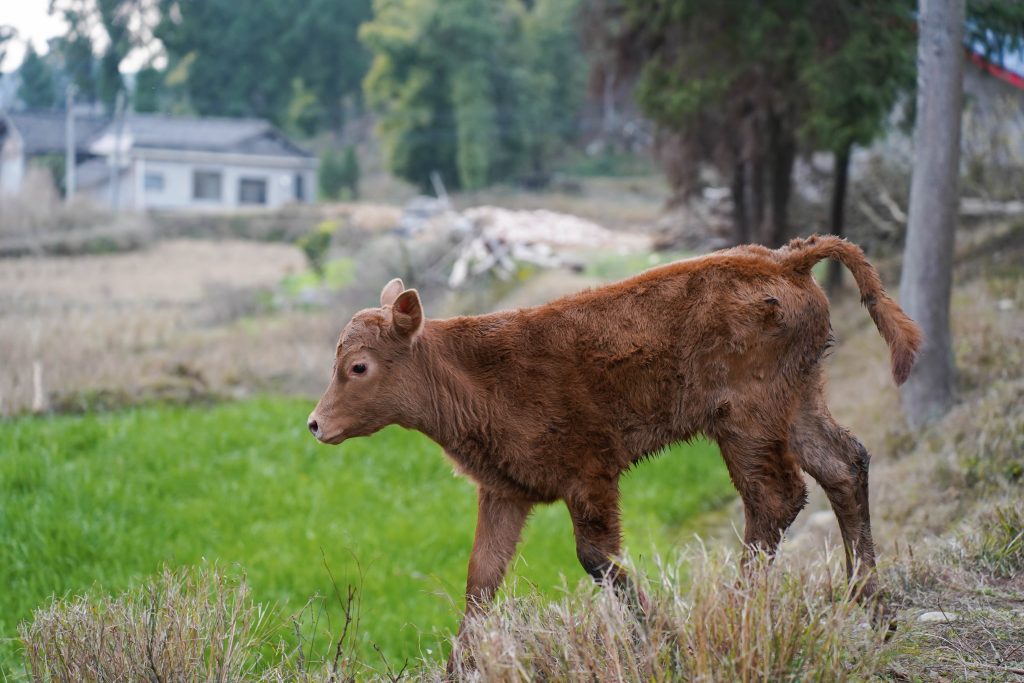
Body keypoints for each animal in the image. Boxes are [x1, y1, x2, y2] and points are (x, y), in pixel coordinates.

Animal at [307, 233, 925, 651]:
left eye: (358, 366)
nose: (315, 424)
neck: (474, 370)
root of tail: (783, 260)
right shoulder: (506, 492)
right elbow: (480, 581)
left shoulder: (591, 475)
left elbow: (597, 558)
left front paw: (667, 636)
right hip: (799, 400)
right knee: (844, 464)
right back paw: (874, 611)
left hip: (745, 421)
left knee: (775, 497)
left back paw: (737, 616)